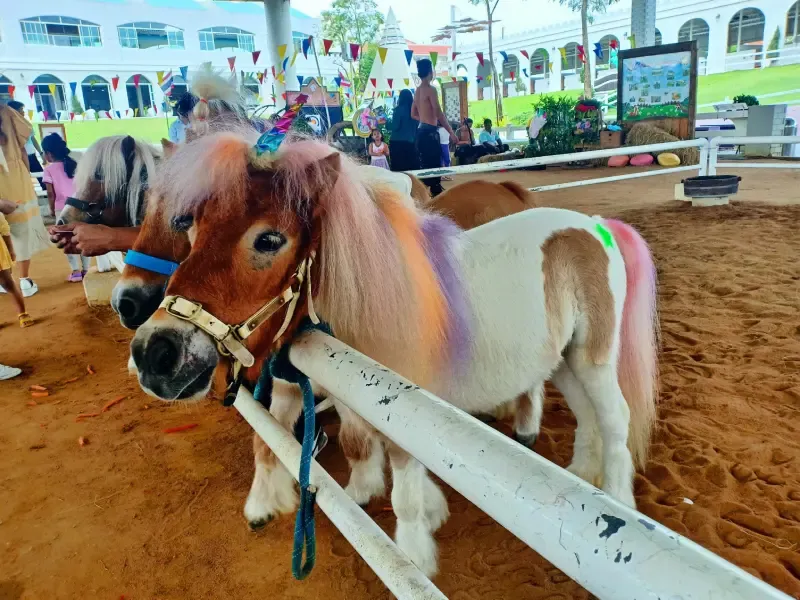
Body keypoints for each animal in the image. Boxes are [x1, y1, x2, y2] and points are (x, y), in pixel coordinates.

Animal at [126, 131, 659, 576]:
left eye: (270, 239)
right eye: (192, 227)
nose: (155, 353)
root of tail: (593, 225)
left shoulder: (401, 406)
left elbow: (402, 485)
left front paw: (415, 553)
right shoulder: (305, 383)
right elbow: (286, 441)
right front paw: (272, 505)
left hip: (594, 358)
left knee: (615, 419)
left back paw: (617, 502)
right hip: (564, 360)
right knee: (586, 416)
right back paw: (584, 478)